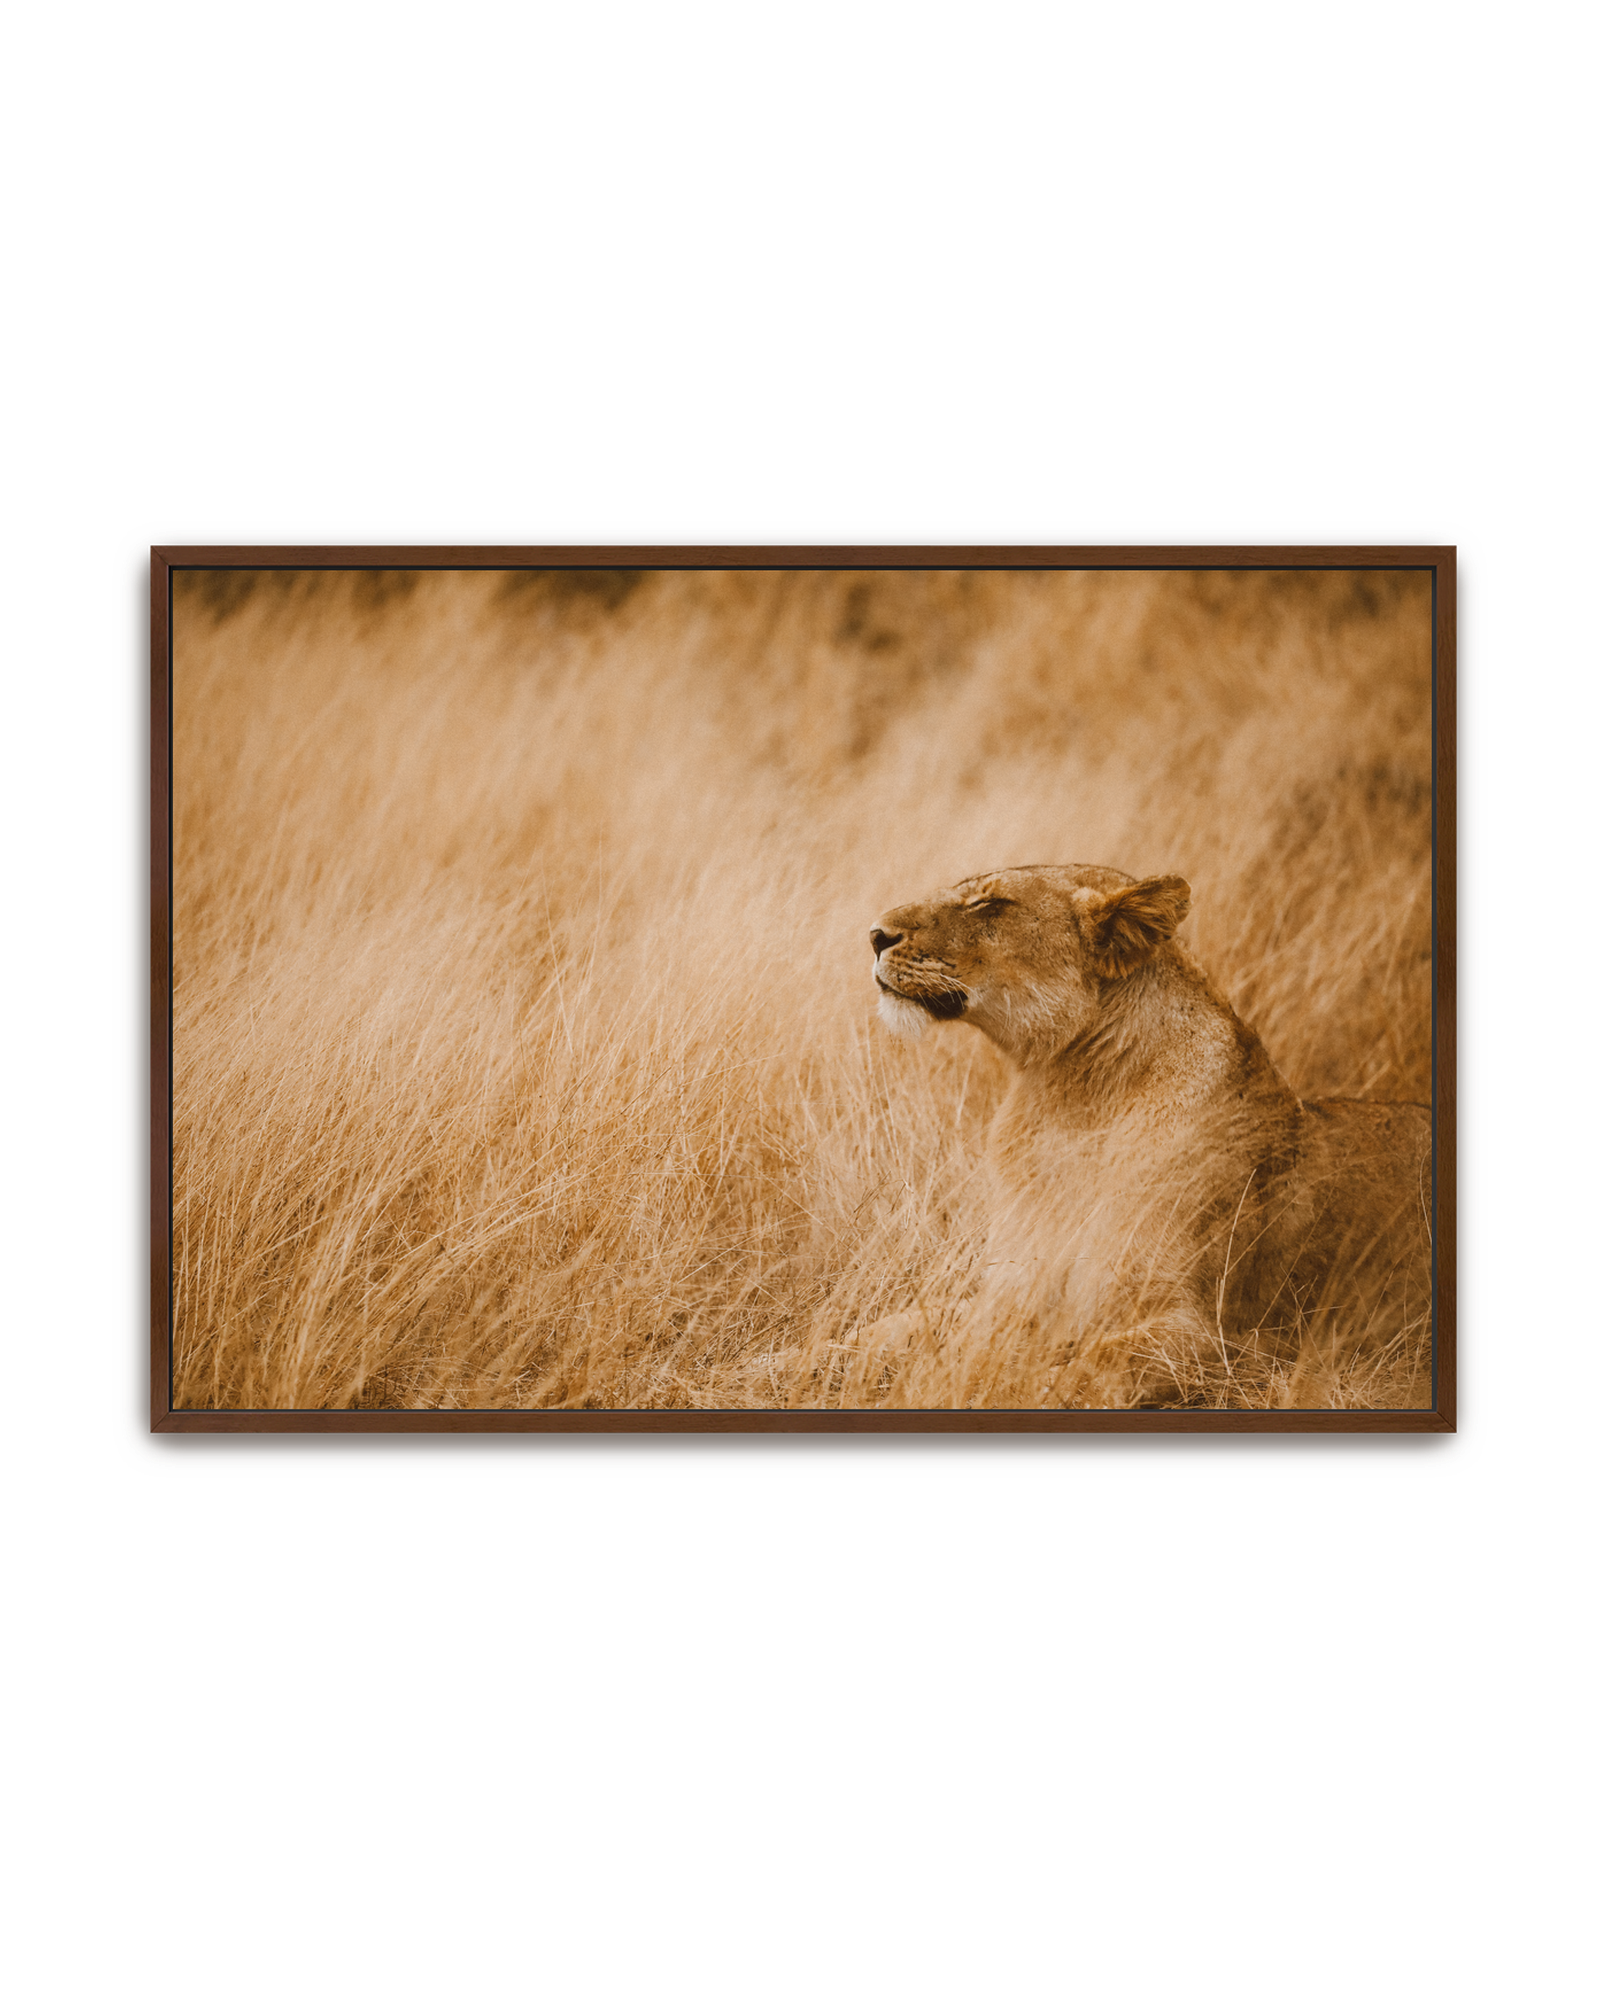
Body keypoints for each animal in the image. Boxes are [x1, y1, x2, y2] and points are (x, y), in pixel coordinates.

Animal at [868, 864, 1432, 1408]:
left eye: (989, 904)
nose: (875, 934)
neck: (1069, 1100)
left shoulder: (1220, 1339)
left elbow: (1084, 1371)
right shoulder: (1014, 1290)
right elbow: (907, 1323)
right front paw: (852, 1355)